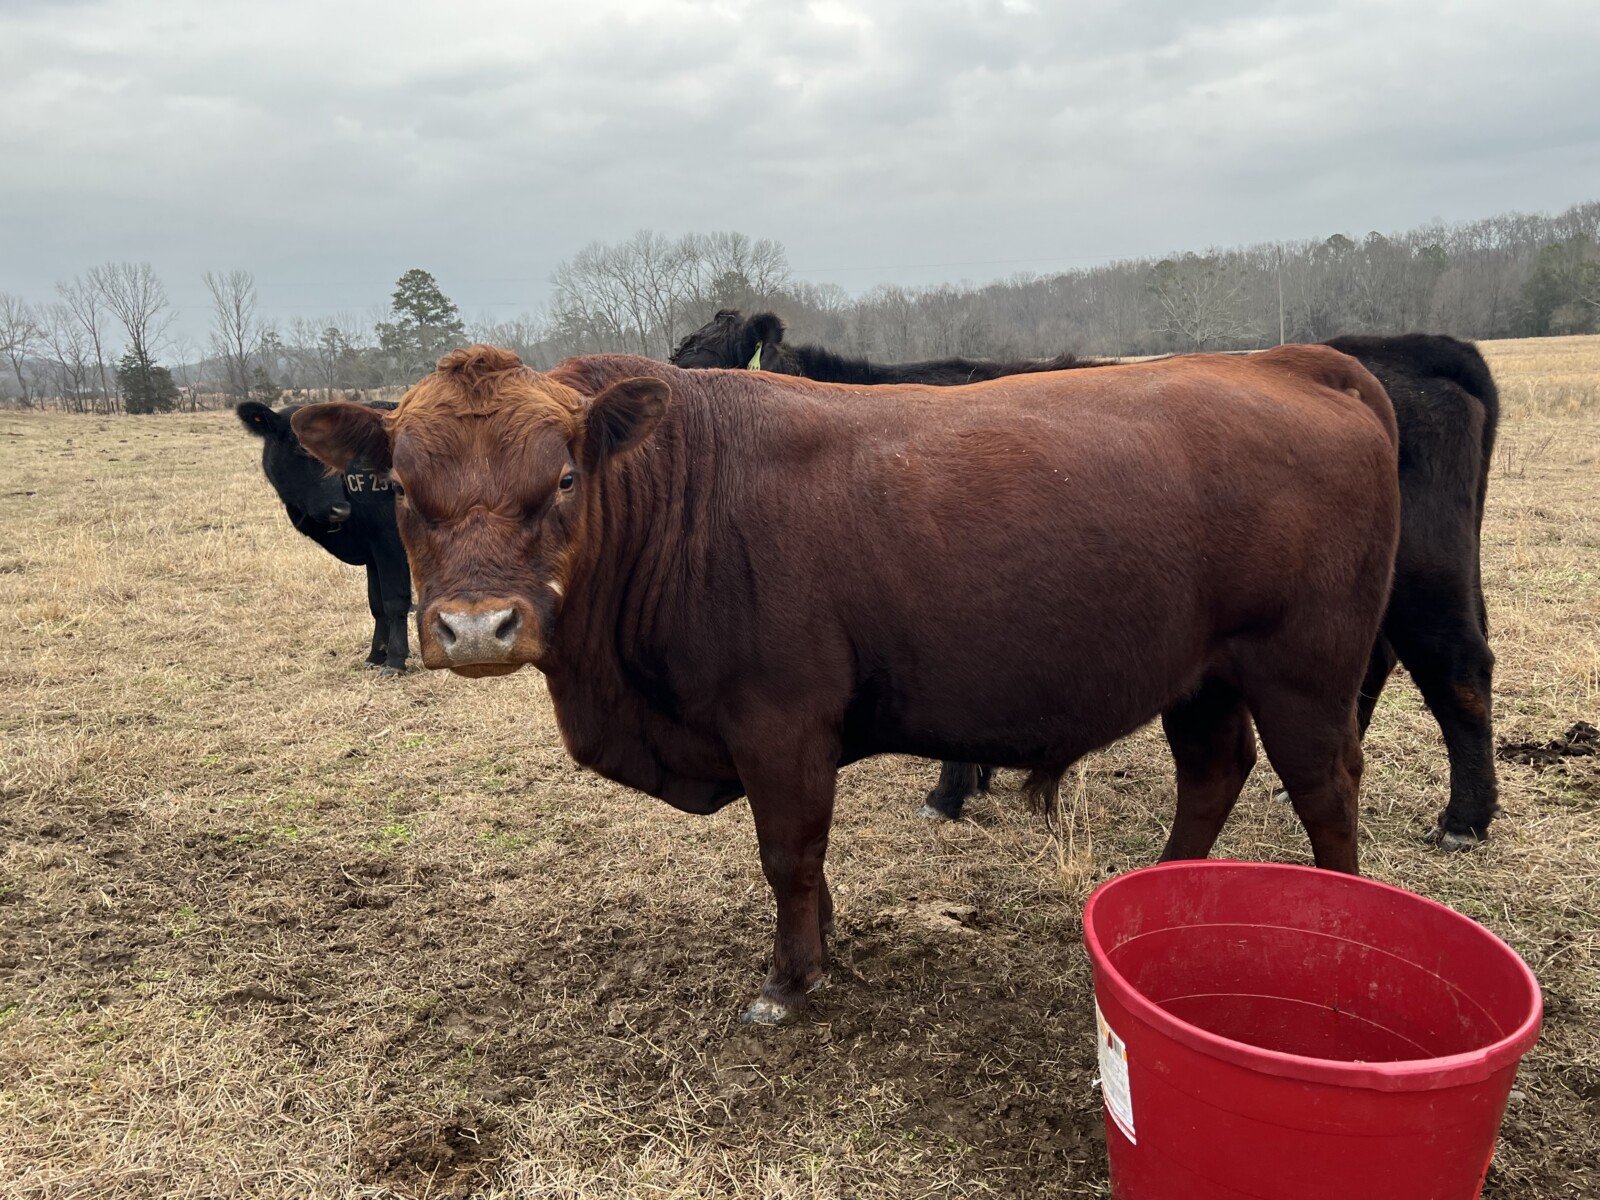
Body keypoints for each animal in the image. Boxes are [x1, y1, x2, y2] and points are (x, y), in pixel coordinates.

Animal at [237, 399, 412, 675]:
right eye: (301, 451)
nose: (339, 509)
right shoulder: (372, 552)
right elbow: (377, 604)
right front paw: (375, 655)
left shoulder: (390, 544)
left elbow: (395, 601)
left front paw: (394, 661)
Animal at [291, 344, 1400, 1023]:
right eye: (400, 488)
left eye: (563, 479)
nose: (477, 627)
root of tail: (1288, 361)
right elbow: (808, 862)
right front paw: (823, 943)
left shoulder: (779, 722)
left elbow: (788, 852)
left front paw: (789, 978)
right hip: (1203, 674)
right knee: (1214, 772)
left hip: (1300, 670)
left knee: (1324, 791)